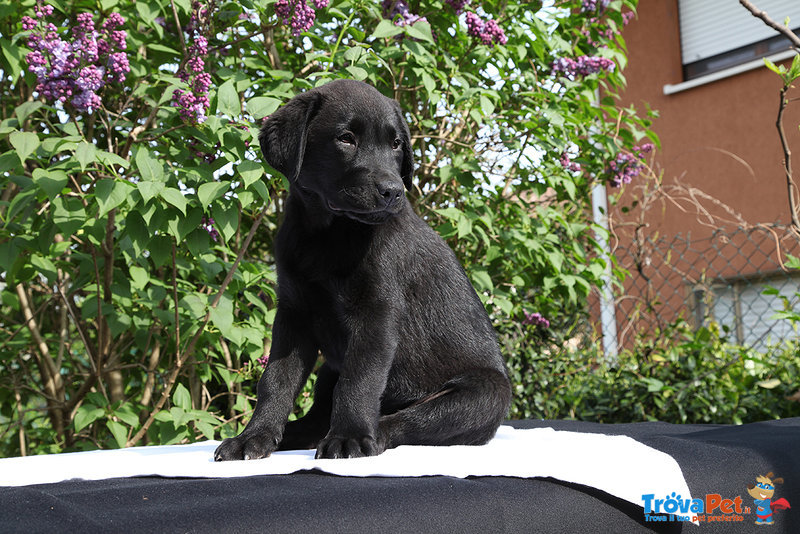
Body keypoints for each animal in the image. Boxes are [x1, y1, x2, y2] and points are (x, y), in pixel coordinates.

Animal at [214, 78, 512, 460]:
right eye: (346, 138)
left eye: (396, 144)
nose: (394, 191)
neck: (330, 233)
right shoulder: (294, 312)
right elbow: (277, 380)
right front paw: (255, 436)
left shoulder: (377, 313)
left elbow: (360, 380)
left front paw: (349, 438)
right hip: (329, 369)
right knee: (319, 417)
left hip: (484, 394)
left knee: (405, 421)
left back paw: (364, 435)